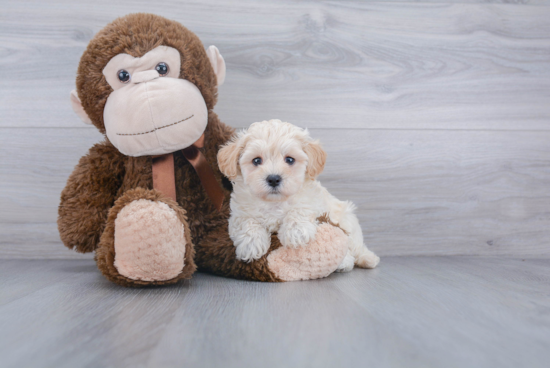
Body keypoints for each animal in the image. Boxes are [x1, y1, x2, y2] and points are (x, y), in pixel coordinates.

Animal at [218, 119, 382, 272]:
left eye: (290, 159)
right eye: (256, 160)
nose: (273, 179)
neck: (274, 202)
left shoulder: (313, 201)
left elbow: (300, 209)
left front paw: (295, 233)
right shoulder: (238, 213)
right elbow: (247, 222)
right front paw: (251, 244)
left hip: (346, 221)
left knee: (352, 248)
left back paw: (355, 260)